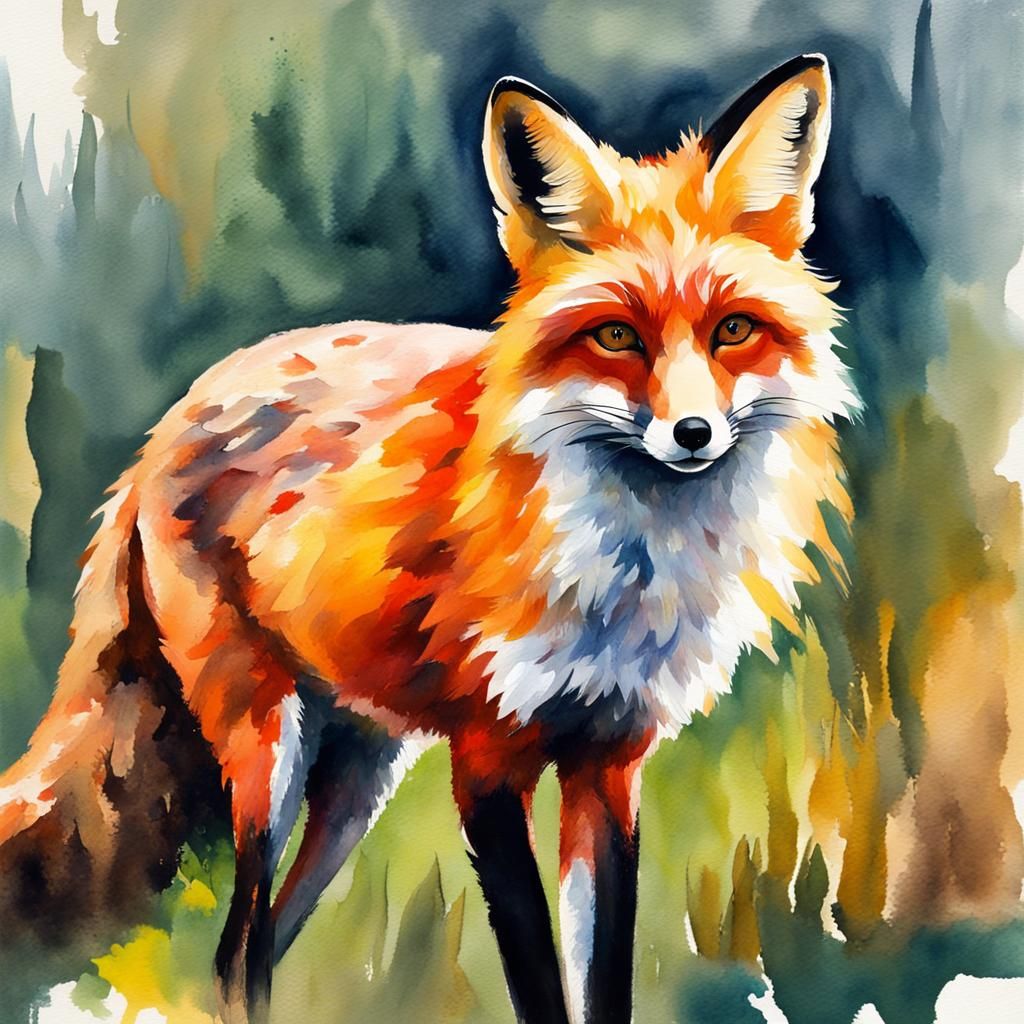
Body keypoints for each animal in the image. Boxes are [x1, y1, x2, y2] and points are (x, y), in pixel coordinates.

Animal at [0, 54, 855, 1024]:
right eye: (615, 337)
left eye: (734, 331)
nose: (694, 434)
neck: (626, 571)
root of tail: (167, 425)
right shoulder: (486, 764)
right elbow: (537, 980)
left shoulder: (609, 763)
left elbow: (600, 980)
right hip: (269, 753)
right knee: (236, 948)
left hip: (357, 782)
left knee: (258, 945)